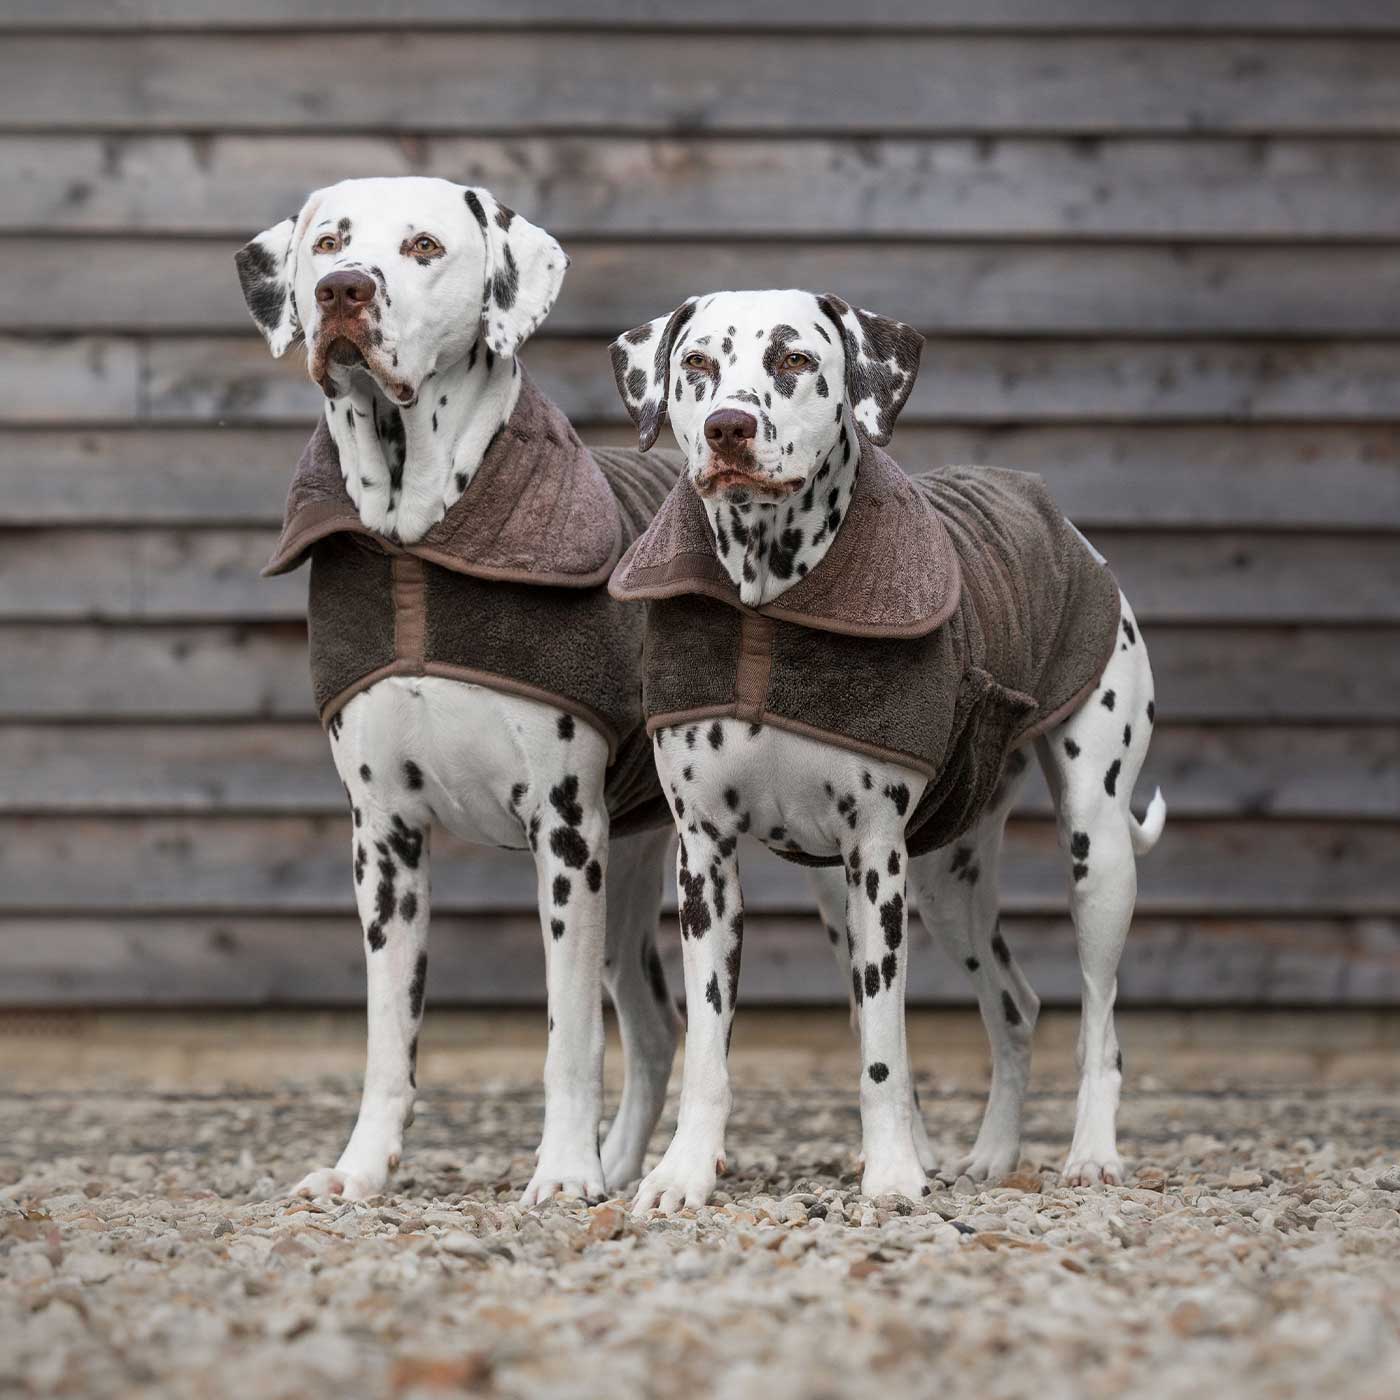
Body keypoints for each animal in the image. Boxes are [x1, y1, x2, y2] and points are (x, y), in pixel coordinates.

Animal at [235, 177, 683, 1204]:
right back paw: (621, 1165)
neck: (419, 542)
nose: (345, 292)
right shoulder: (384, 840)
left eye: (425, 246)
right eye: (329, 242)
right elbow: (387, 1036)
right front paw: (359, 1171)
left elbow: (566, 1038)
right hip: (637, 867)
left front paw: (561, 1173)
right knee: (655, 1026)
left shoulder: (567, 833)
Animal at [613, 292, 1170, 1215]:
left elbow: (882, 1048)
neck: (771, 604)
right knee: (1015, 1006)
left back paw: (1090, 1153)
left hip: (1097, 856)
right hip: (939, 884)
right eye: (695, 364)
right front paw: (683, 1172)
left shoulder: (875, 860)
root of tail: (1065, 526)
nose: (729, 426)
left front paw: (894, 1176)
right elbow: (710, 1047)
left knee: (1100, 1021)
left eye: (794, 359)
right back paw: (990, 1153)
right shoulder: (706, 864)